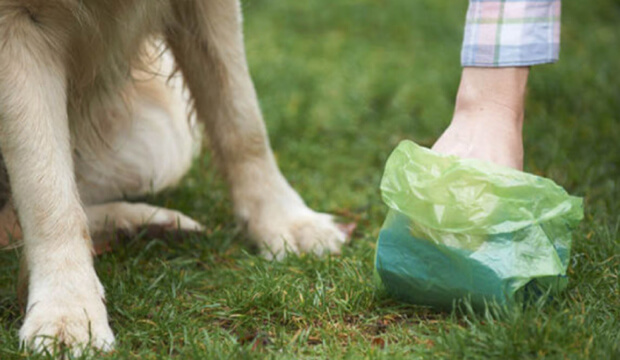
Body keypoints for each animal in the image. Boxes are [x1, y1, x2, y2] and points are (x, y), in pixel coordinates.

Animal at [0, 0, 348, 354]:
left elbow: (242, 121)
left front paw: (286, 222)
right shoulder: (13, 29)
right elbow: (47, 191)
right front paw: (68, 310)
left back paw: (150, 224)